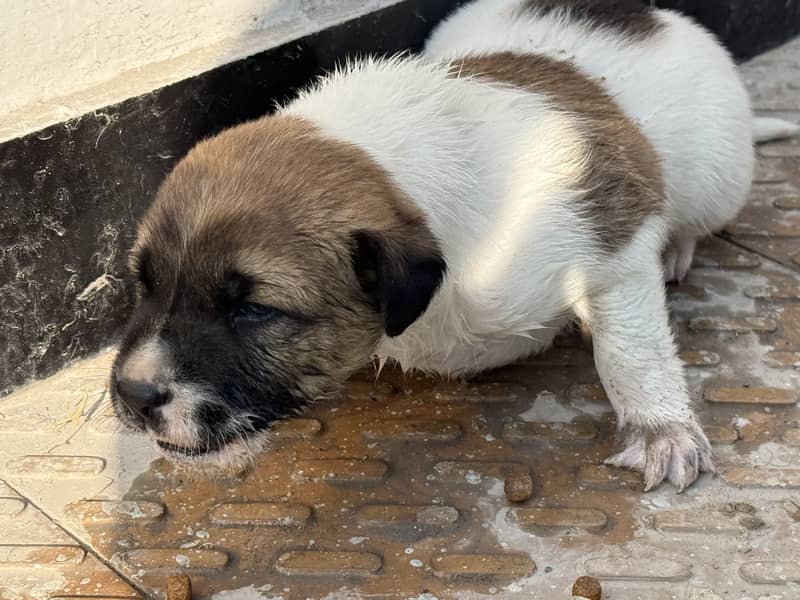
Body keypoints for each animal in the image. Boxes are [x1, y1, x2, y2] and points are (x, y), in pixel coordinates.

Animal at [109, 0, 792, 492]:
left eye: (253, 310)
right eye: (145, 284)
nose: (134, 396)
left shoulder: (615, 241)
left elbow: (632, 353)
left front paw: (661, 430)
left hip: (717, 177)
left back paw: (678, 249)